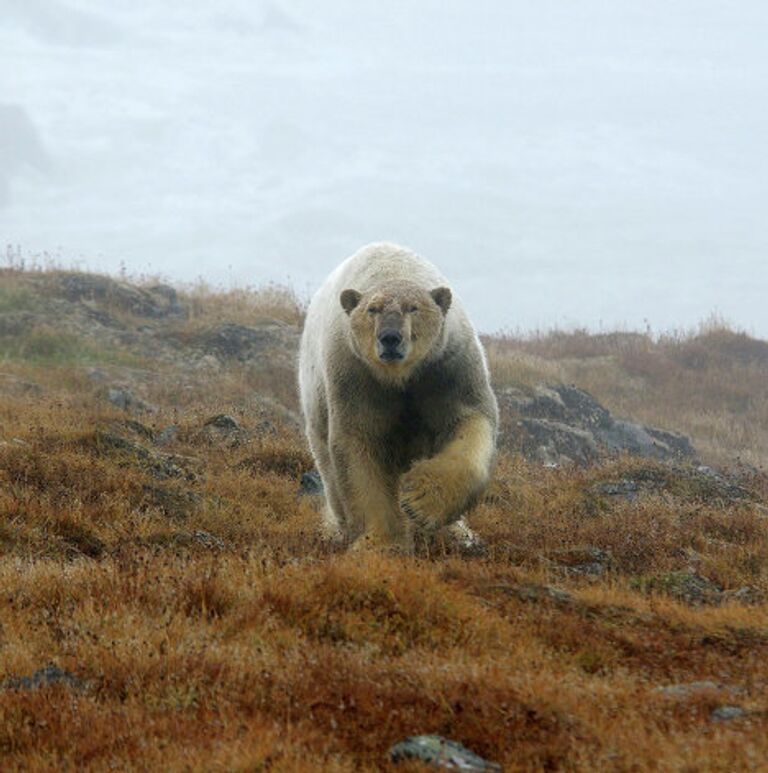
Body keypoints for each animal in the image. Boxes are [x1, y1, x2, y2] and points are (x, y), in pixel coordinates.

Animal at [294, 241, 498, 548]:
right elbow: (359, 442)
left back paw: (460, 534)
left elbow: (470, 421)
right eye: (372, 309)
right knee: (329, 472)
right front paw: (378, 542)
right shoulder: (356, 375)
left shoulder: (447, 367)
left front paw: (421, 502)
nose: (390, 338)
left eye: (413, 308)